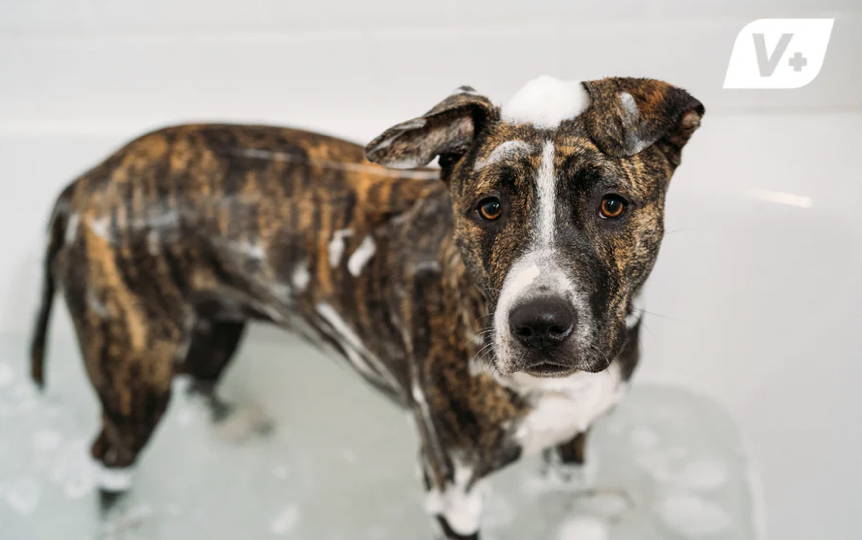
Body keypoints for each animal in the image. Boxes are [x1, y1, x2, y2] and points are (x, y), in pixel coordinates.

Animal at [32, 77, 704, 540]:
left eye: (612, 204)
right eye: (488, 208)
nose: (538, 324)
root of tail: (89, 180)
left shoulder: (574, 436)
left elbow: (567, 491)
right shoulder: (452, 488)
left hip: (217, 322)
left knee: (199, 379)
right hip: (134, 374)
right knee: (110, 457)